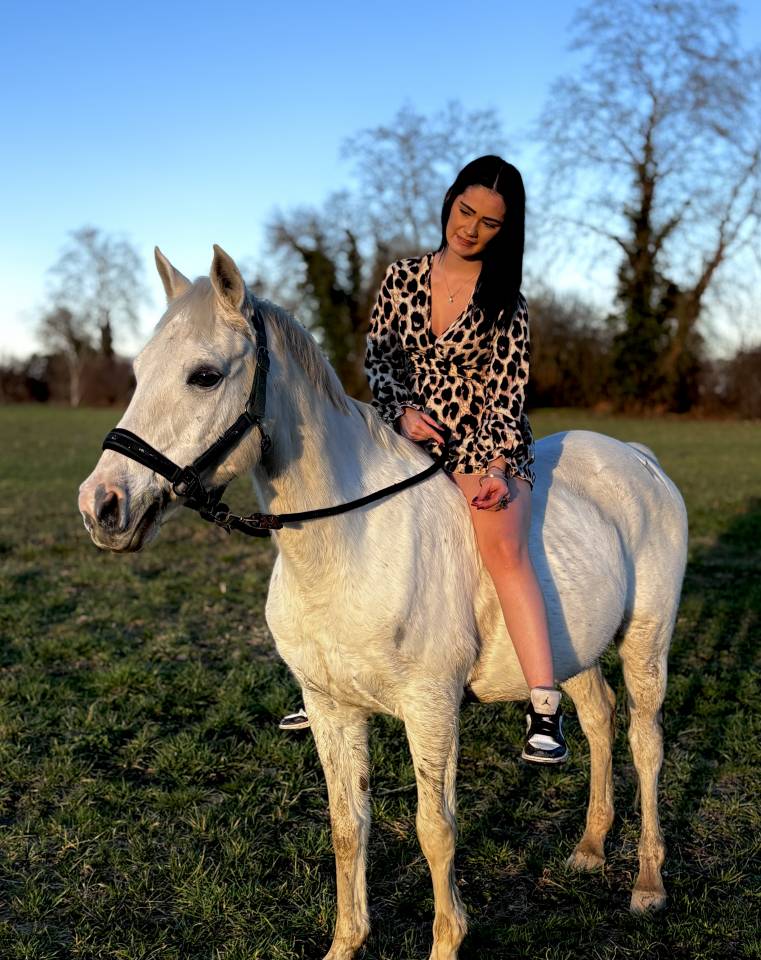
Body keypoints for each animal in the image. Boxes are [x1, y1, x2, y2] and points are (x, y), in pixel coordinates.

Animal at [78, 246, 688, 960]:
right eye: (138, 372)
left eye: (204, 376)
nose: (102, 506)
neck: (350, 544)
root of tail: (639, 459)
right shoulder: (331, 709)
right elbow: (349, 824)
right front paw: (346, 943)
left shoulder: (431, 708)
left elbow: (435, 829)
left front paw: (448, 940)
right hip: (575, 651)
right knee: (596, 720)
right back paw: (590, 847)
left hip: (647, 641)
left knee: (646, 742)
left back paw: (648, 883)